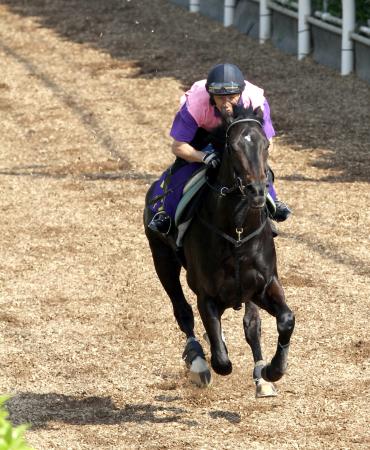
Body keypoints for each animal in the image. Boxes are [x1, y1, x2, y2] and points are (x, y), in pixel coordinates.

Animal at [142, 105, 294, 398]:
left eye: (266, 144)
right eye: (232, 147)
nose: (257, 191)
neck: (237, 232)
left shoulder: (264, 285)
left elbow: (283, 320)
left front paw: (272, 370)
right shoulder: (207, 295)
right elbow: (221, 360)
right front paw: (208, 357)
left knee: (251, 326)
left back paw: (260, 375)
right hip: (162, 260)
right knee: (183, 312)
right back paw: (197, 360)